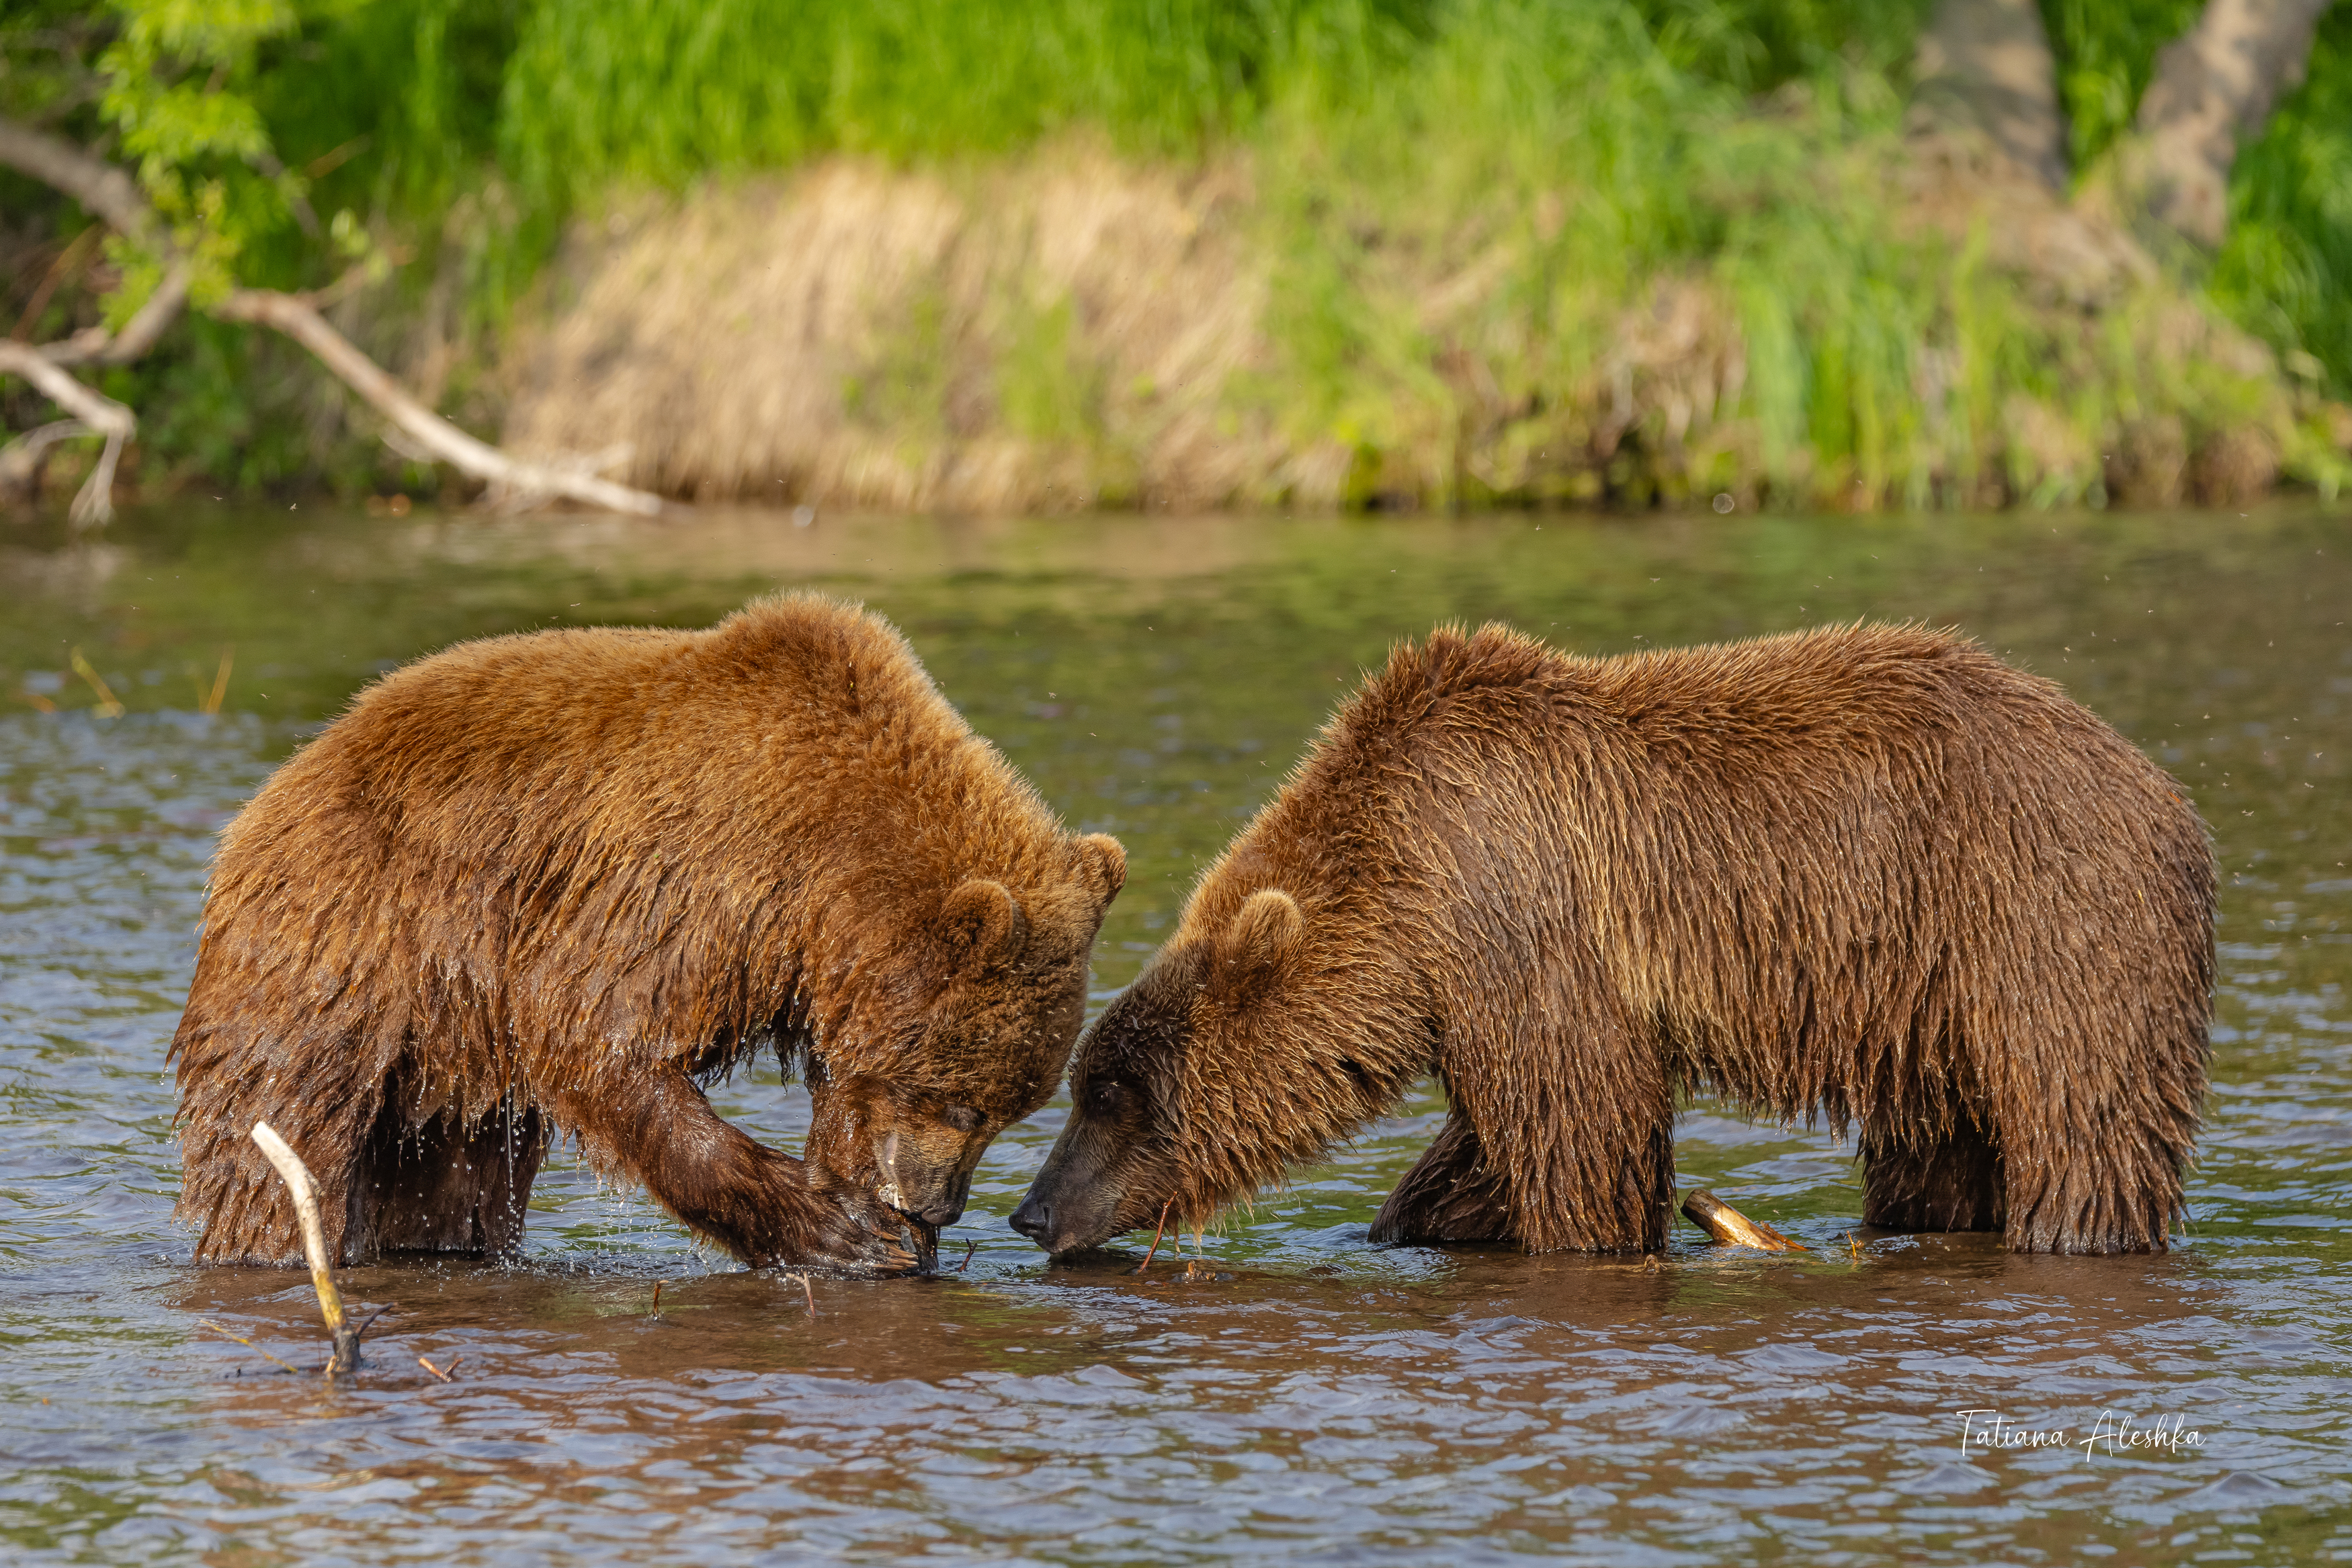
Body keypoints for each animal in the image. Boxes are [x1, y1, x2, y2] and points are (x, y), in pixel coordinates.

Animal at [170, 597, 1124, 1278]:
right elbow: (597, 1030)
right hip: (344, 946)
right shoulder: (684, 881)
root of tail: (271, 792)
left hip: (450, 1047)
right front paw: (842, 1228)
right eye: (961, 1102)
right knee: (283, 1135)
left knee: (453, 1179)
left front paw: (879, 1228)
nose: (940, 1206)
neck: (825, 871)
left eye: (1010, 1109)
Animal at [1016, 620, 2220, 1260]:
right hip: (1923, 1003)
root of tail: (2161, 786)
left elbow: (1581, 1128)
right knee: (1940, 1142)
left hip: (2040, 920)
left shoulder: (1521, 917)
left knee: (2081, 1119)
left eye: (1112, 1091)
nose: (1033, 1209)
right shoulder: (1480, 977)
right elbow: (1490, 1143)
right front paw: (1416, 1218)